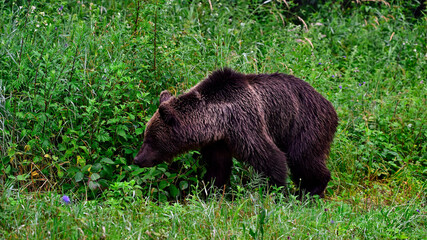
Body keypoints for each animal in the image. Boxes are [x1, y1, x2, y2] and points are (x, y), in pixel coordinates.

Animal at [134, 67, 338, 197]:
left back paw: (312, 190)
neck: (220, 122)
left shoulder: (245, 124)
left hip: (305, 125)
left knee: (302, 158)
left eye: (150, 139)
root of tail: (331, 106)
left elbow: (271, 158)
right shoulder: (217, 142)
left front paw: (276, 192)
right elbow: (218, 168)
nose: (137, 159)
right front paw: (209, 192)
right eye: (146, 136)